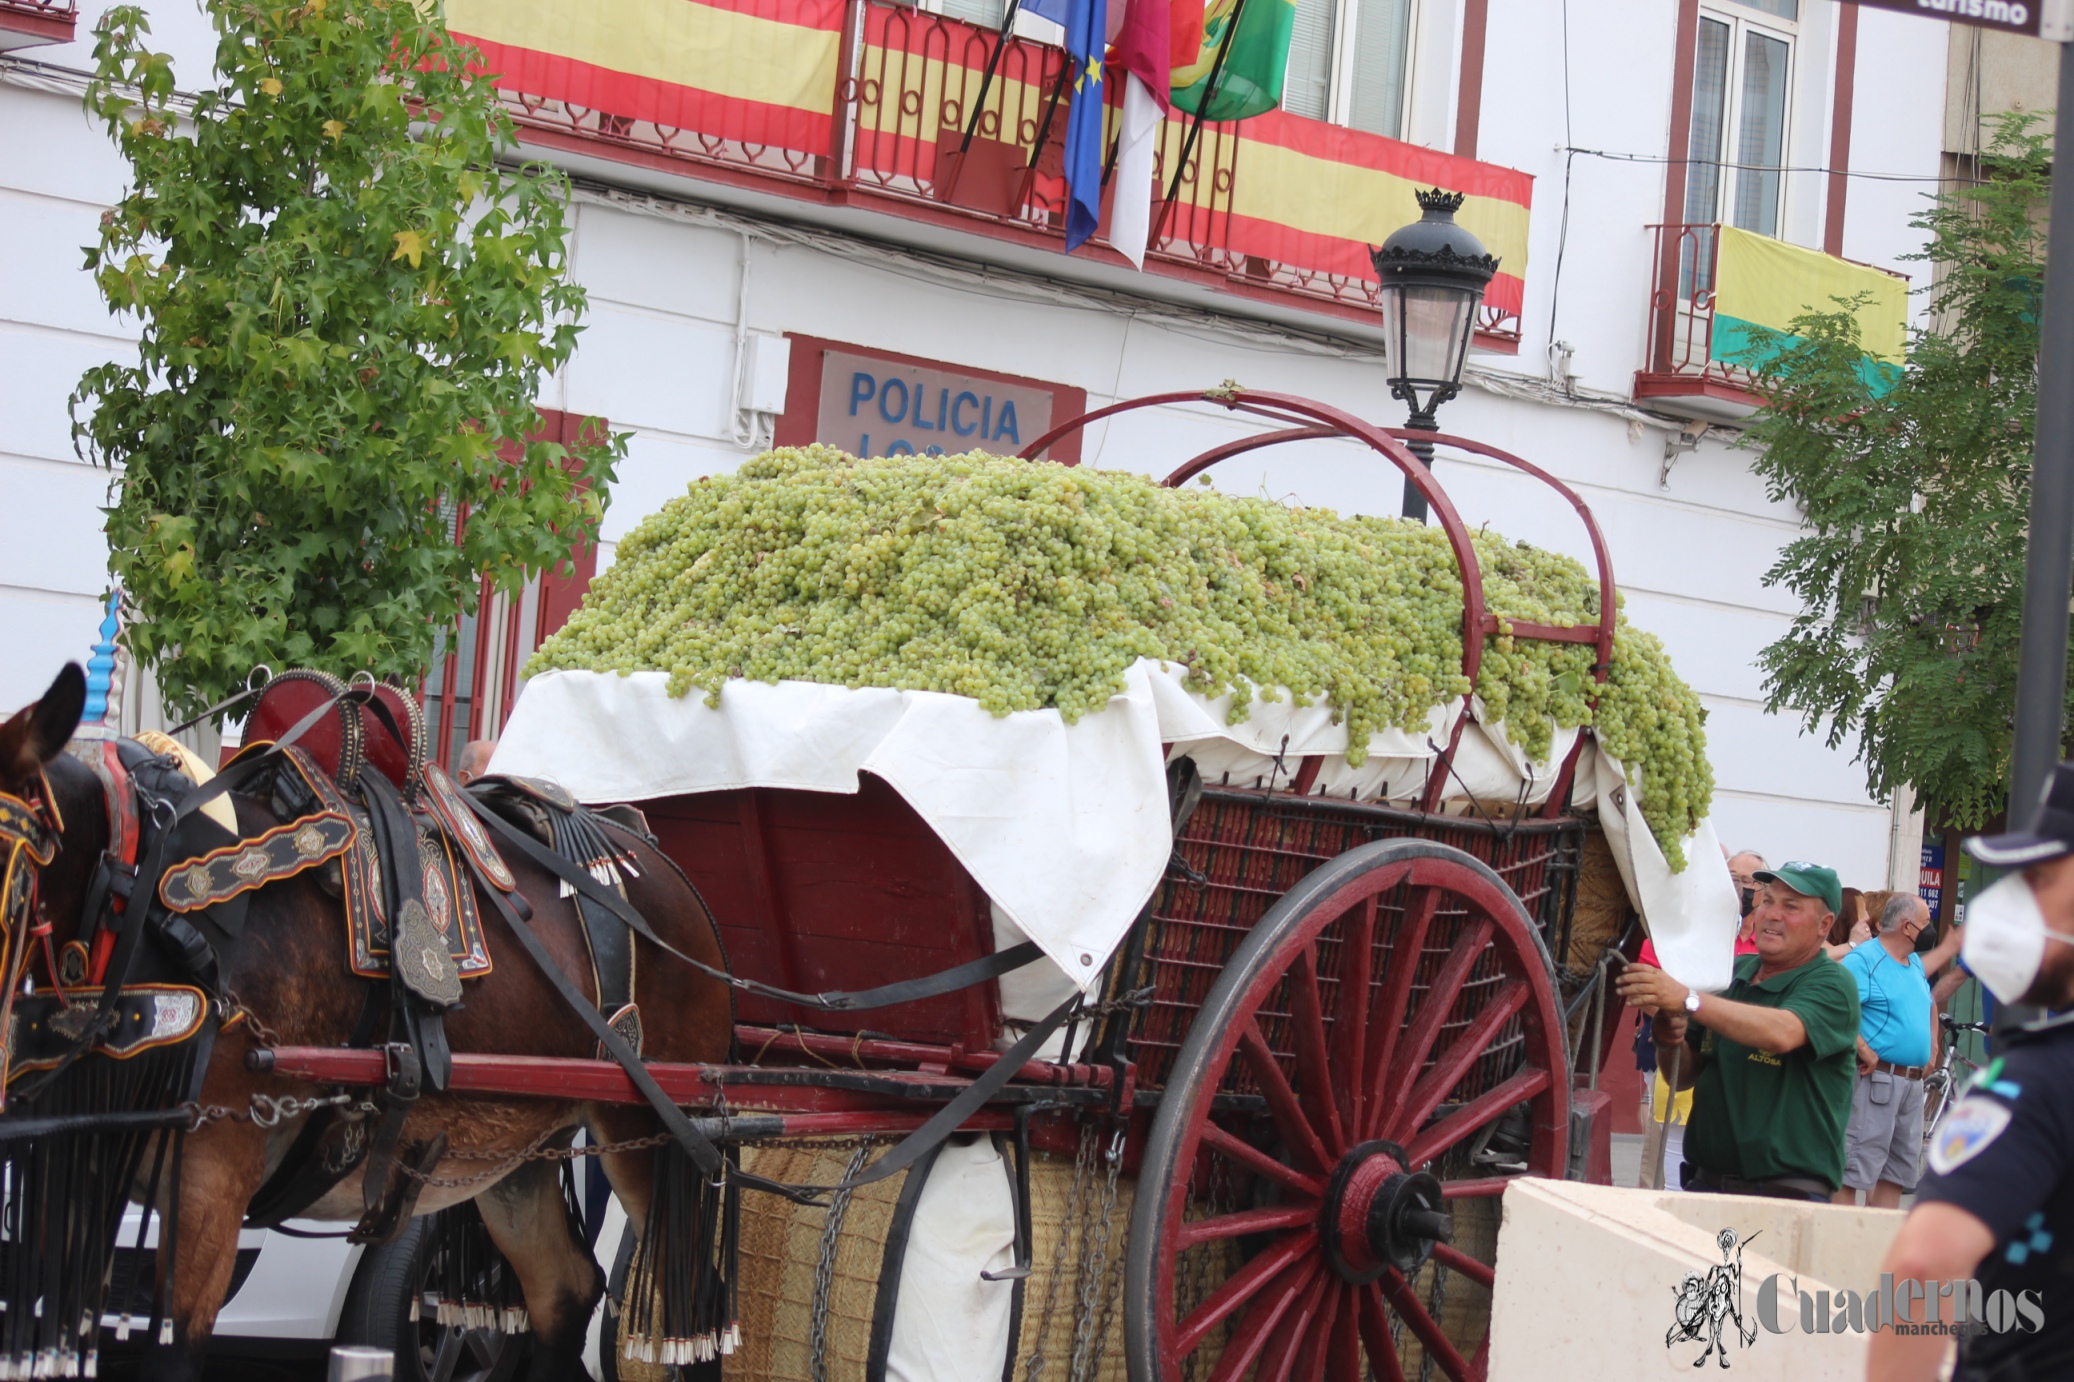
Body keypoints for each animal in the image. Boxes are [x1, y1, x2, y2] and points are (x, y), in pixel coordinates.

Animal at [2, 664, 738, 1369]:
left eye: (14, 889)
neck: (139, 901)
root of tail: (661, 863)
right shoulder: (74, 1164)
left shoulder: (211, 1176)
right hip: (516, 1144)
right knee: (565, 1291)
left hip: (657, 1134)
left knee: (690, 1315)